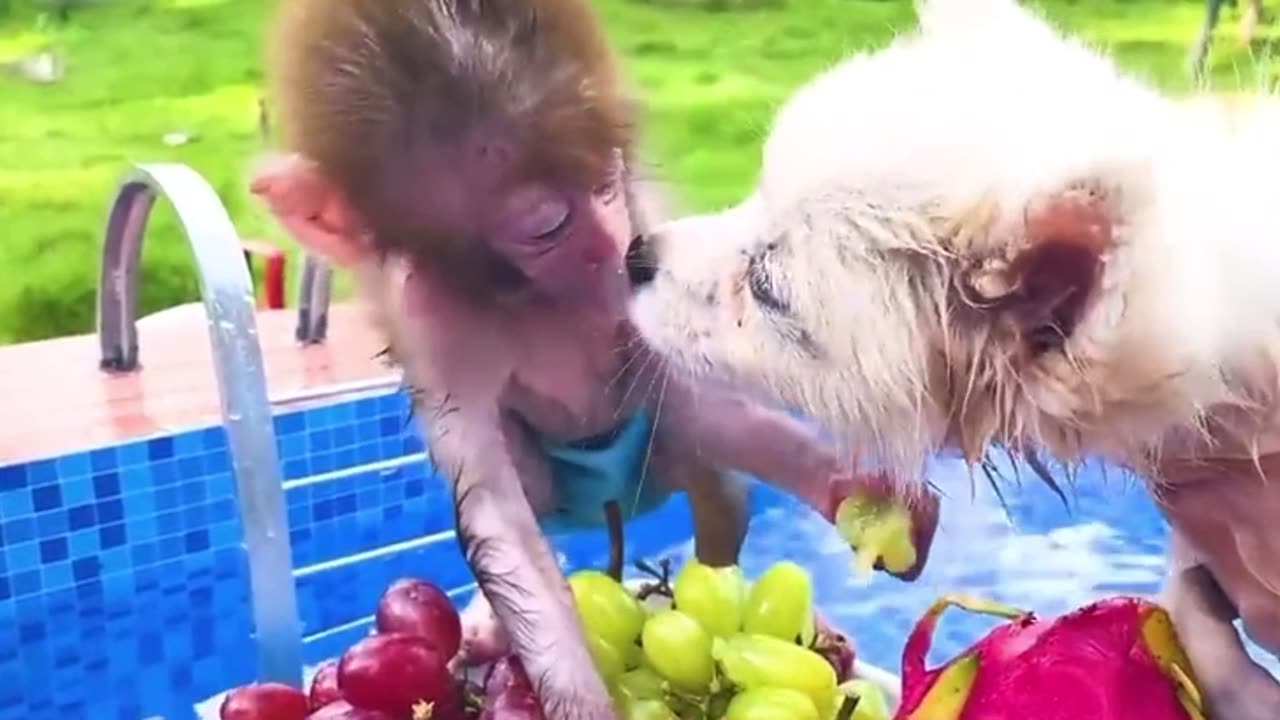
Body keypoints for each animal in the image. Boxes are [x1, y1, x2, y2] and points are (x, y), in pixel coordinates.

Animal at [249, 2, 936, 712]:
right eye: (546, 225)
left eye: (608, 181)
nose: (613, 244)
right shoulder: (432, 316)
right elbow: (496, 512)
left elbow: (684, 391)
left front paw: (854, 493)